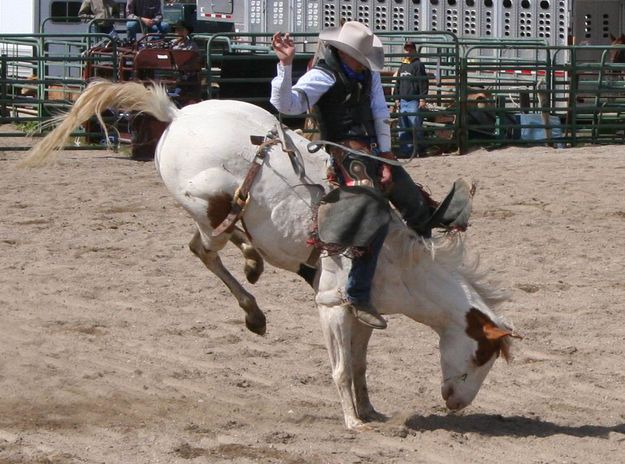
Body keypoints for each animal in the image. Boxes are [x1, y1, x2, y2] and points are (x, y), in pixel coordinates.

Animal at [24, 80, 520, 432]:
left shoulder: (362, 314)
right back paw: (252, 288)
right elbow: (341, 367)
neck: (399, 262)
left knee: (215, 242)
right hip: (208, 199)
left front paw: (370, 411)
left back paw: (253, 279)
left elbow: (359, 365)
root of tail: (179, 115)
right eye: (481, 356)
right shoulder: (331, 305)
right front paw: (353, 422)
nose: (456, 404)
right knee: (208, 242)